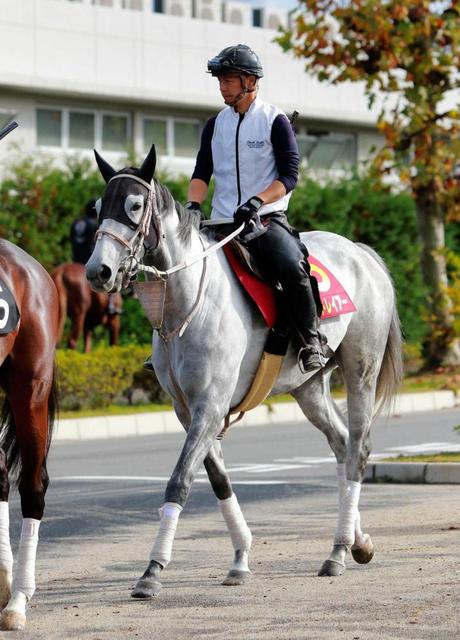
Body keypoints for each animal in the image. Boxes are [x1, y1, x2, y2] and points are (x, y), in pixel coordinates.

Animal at [86, 146, 402, 600]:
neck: (187, 304)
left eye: (134, 205)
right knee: (341, 444)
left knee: (358, 448)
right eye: (97, 208)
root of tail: (361, 252)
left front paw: (153, 570)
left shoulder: (210, 406)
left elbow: (179, 481)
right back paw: (355, 543)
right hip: (309, 389)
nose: (99, 271)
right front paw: (240, 558)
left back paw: (339, 551)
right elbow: (218, 481)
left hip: (362, 370)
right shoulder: (188, 411)